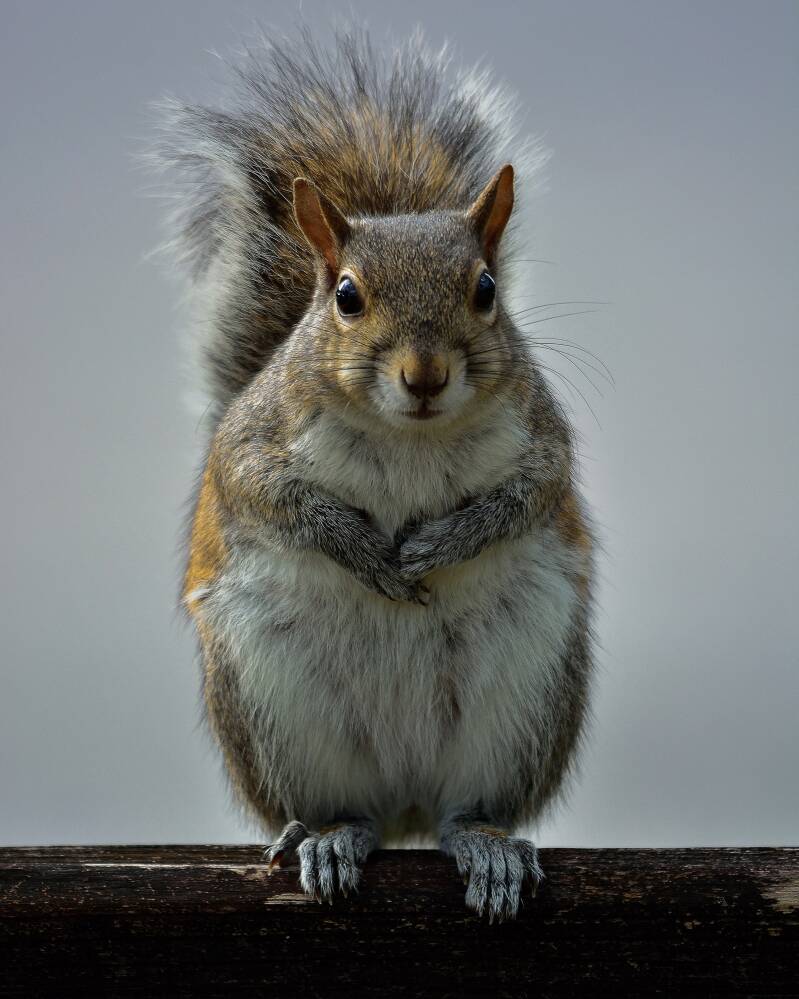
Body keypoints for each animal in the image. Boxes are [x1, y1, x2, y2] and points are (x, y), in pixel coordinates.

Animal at [154, 29, 596, 922]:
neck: (409, 436)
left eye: (485, 289)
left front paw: (438, 545)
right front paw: (365, 553)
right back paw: (331, 838)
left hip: (522, 704)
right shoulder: (251, 444)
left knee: (468, 808)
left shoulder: (542, 441)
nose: (424, 375)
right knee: (343, 809)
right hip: (274, 707)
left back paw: (485, 847)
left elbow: (521, 498)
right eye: (348, 297)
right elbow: (275, 498)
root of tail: (407, 804)